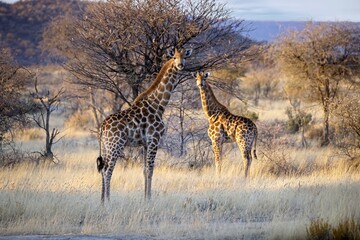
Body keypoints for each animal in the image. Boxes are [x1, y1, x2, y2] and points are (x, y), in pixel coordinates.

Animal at [95, 47, 191, 202]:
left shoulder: (145, 143)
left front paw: (145, 198)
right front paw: (149, 199)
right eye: (174, 57)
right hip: (115, 145)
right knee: (108, 170)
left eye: (185, 57)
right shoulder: (154, 139)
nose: (180, 65)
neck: (158, 104)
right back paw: (108, 201)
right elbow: (151, 170)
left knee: (103, 169)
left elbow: (145, 170)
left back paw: (102, 201)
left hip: (105, 146)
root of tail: (102, 127)